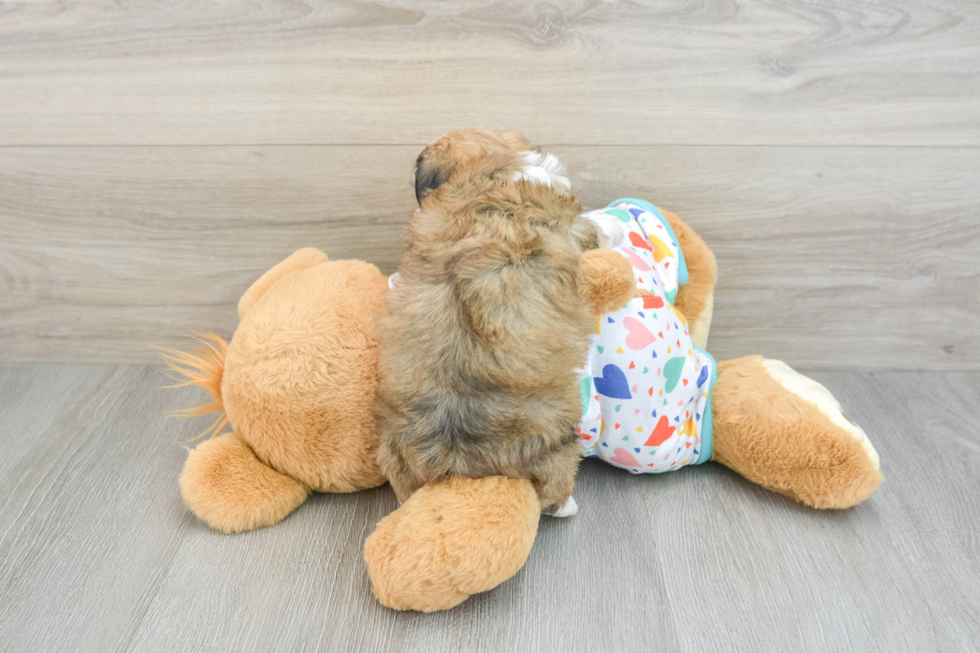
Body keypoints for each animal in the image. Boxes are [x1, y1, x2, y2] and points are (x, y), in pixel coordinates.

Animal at [376, 129, 600, 516]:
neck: (488, 174)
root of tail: (459, 468)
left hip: (392, 453)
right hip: (558, 451)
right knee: (555, 492)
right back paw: (567, 506)